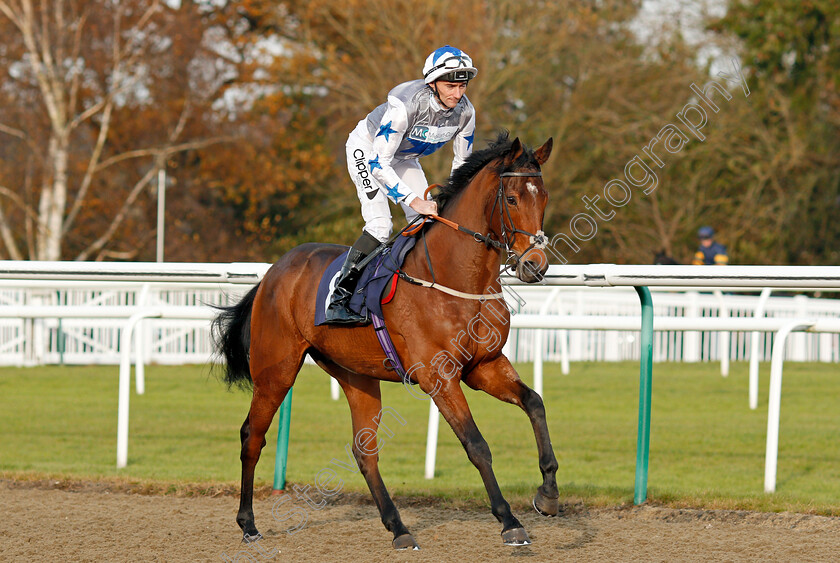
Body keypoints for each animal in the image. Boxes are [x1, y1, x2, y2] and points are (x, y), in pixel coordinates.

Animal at [213, 132, 560, 552]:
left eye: (543, 197)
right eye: (511, 199)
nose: (535, 265)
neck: (455, 277)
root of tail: (272, 274)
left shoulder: (484, 366)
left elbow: (535, 403)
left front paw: (548, 493)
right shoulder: (439, 377)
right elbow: (476, 444)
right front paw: (509, 521)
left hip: (355, 375)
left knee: (364, 451)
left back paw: (399, 528)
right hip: (275, 371)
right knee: (253, 436)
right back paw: (248, 523)